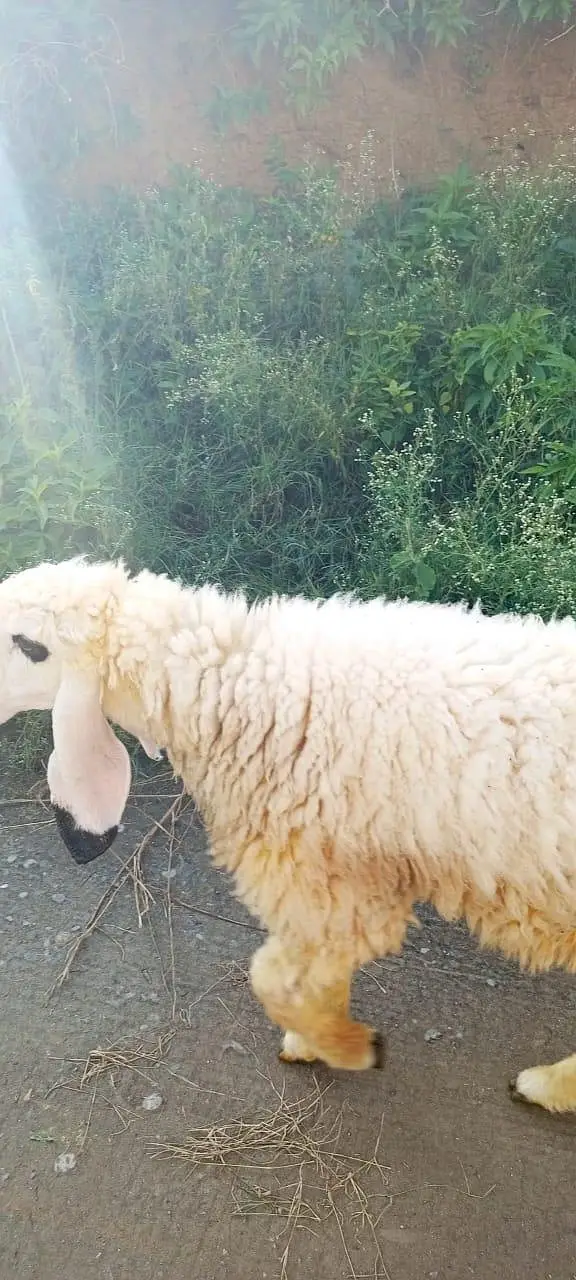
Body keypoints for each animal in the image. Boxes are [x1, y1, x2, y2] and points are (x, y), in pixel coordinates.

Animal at [1, 556, 576, 1113]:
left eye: (29, 645)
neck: (239, 687)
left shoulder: (326, 880)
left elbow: (273, 978)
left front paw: (349, 1048)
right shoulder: (334, 884)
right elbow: (309, 976)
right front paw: (316, 1040)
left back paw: (544, 1086)